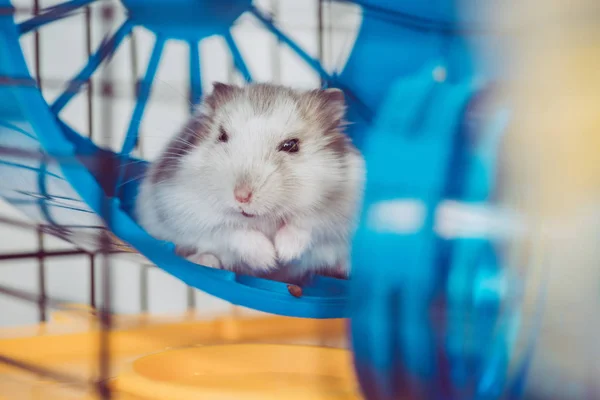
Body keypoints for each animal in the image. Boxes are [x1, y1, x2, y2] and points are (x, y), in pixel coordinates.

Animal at [135, 81, 366, 282]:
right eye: (222, 135)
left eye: (291, 145)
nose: (241, 197)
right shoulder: (177, 204)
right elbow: (229, 230)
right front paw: (269, 260)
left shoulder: (341, 211)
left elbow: (307, 224)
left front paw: (284, 253)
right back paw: (205, 261)